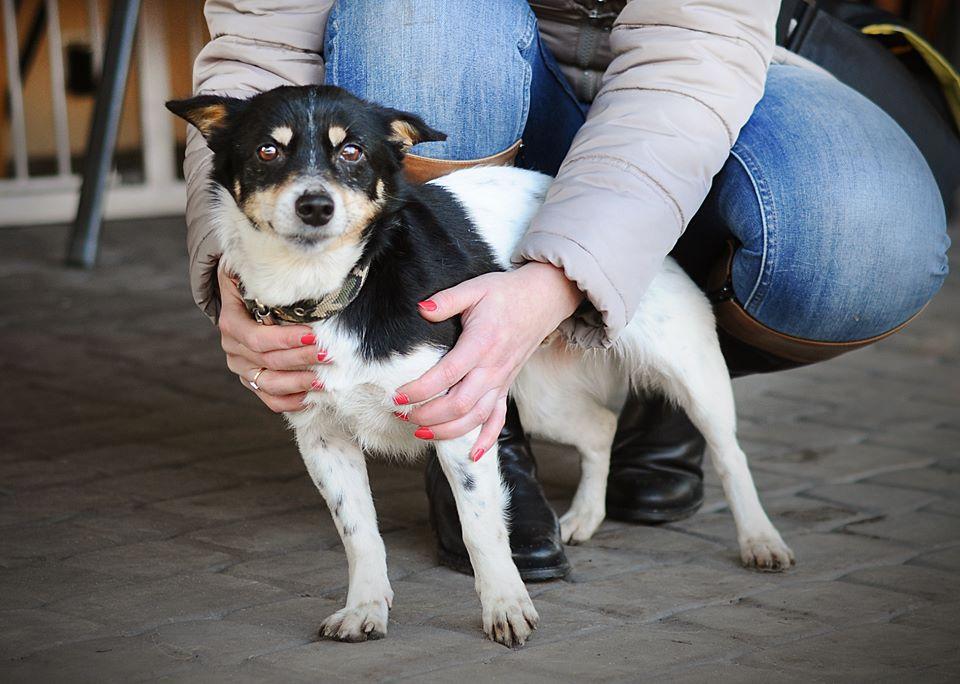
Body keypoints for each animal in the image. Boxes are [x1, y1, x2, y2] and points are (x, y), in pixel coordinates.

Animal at [167, 88, 796, 648]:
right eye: (267, 151)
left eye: (353, 152)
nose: (315, 205)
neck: (337, 290)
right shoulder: (323, 438)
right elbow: (359, 533)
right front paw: (365, 608)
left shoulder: (456, 419)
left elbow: (482, 529)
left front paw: (507, 607)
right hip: (536, 396)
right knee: (600, 428)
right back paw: (584, 518)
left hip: (689, 370)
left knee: (729, 454)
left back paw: (760, 539)